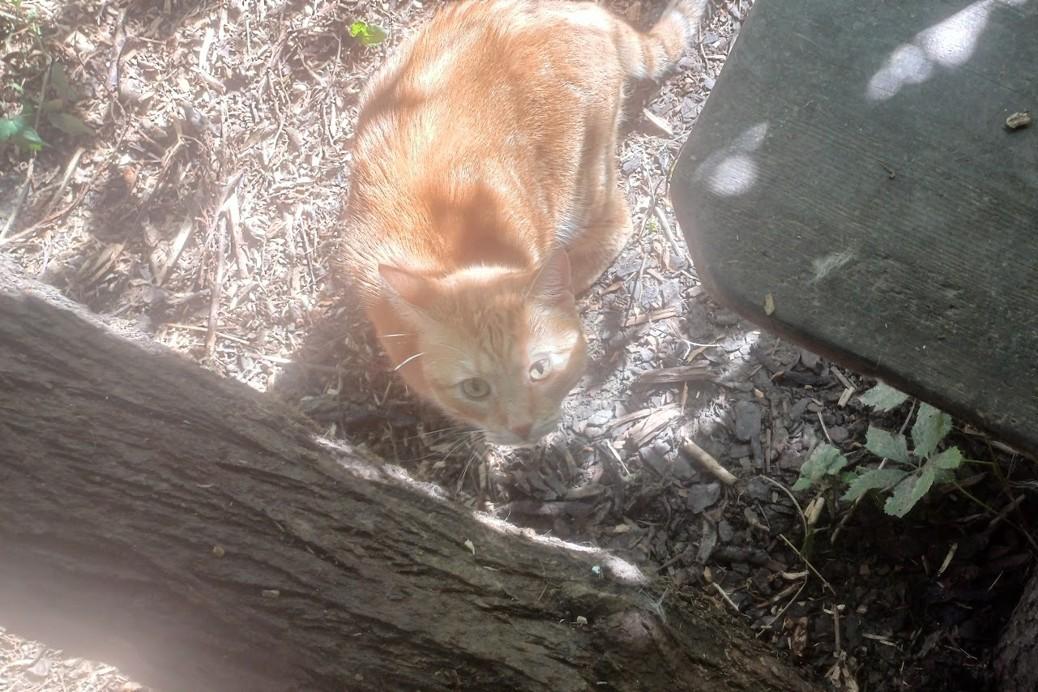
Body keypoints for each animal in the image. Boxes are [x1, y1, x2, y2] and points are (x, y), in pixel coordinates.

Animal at [336, 0, 706, 446]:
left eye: (539, 369)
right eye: (475, 388)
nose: (522, 426)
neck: (448, 247)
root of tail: (590, 12)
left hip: (586, 177)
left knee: (618, 223)